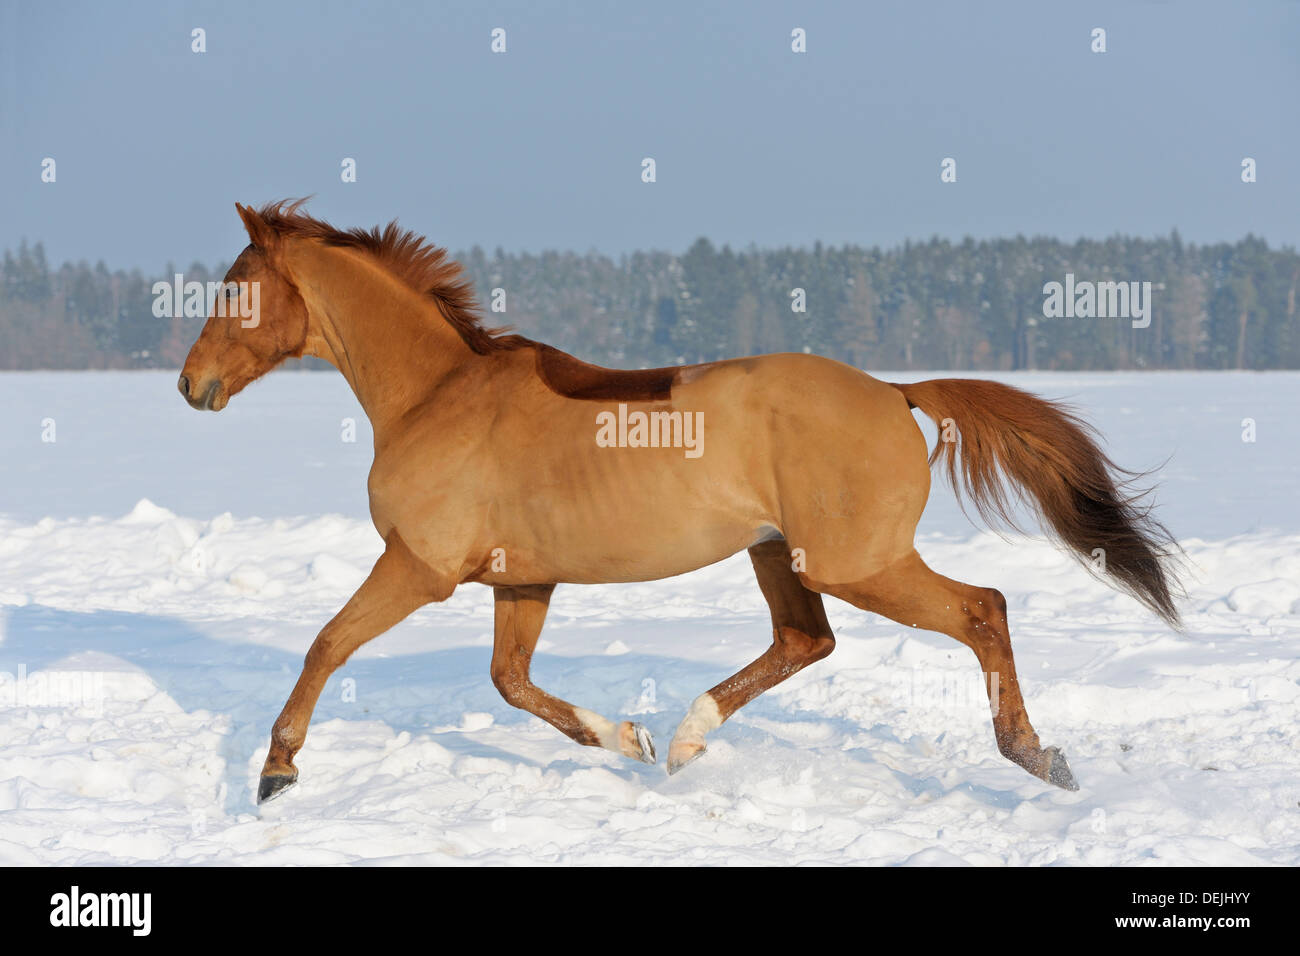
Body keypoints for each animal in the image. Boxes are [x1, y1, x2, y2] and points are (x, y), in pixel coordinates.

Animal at [178, 204, 1185, 806]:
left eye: (235, 288)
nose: (191, 386)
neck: (435, 397)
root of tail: (895, 391)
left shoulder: (418, 567)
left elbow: (327, 644)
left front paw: (276, 771)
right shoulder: (521, 581)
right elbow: (510, 682)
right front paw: (623, 738)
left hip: (857, 562)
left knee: (982, 610)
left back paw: (1038, 757)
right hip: (780, 553)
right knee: (805, 640)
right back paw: (687, 739)